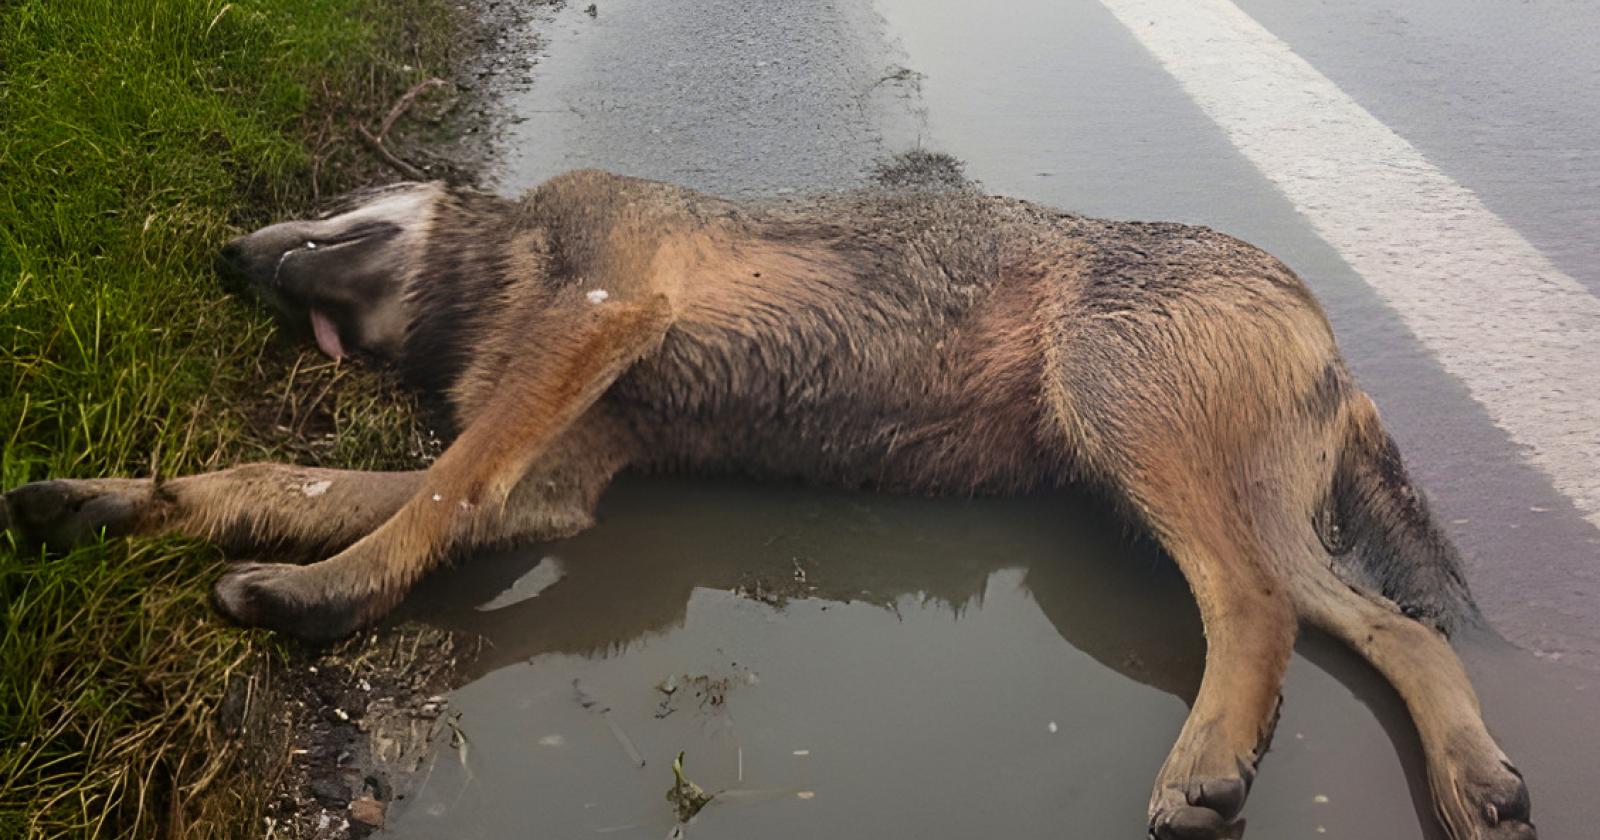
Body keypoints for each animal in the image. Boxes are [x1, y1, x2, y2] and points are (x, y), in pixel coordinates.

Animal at [1, 161, 1533, 839]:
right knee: (1397, 630)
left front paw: (330, 597)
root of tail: (1324, 318)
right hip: (1209, 486)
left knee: (1257, 613)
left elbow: (431, 492)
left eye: (317, 206)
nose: (222, 257)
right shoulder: (552, 489)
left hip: (1124, 430)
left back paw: (1207, 768)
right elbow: (284, 480)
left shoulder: (602, 314)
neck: (483, 286)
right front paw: (105, 505)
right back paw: (1473, 784)